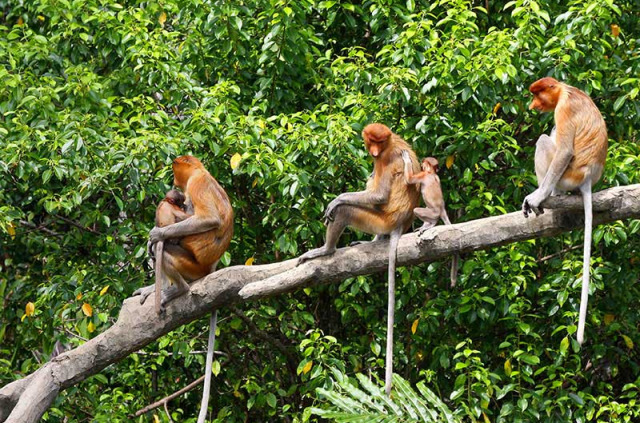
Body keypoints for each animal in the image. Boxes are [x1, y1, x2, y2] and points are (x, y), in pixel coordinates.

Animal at [133, 156, 235, 423]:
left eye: (175, 170)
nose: (173, 180)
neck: (201, 171)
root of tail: (210, 268)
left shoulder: (196, 185)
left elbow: (208, 219)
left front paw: (156, 233)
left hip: (192, 264)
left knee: (167, 248)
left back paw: (177, 288)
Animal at [298, 123, 422, 398]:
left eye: (380, 142)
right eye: (371, 141)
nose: (374, 152)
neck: (389, 144)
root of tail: (400, 224)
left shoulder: (387, 159)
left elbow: (378, 194)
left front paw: (336, 200)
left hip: (379, 218)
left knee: (347, 210)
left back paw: (326, 250)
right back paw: (373, 241)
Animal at [400, 152, 460, 288]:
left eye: (423, 164)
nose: (422, 164)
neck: (431, 173)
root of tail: (441, 210)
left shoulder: (423, 175)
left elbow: (409, 179)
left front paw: (406, 158)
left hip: (432, 213)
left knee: (417, 210)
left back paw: (430, 225)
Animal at [524, 78, 608, 346]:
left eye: (537, 95)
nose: (532, 106)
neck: (564, 90)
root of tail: (588, 178)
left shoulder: (564, 109)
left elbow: (563, 152)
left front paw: (536, 197)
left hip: (568, 176)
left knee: (545, 141)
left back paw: (550, 196)